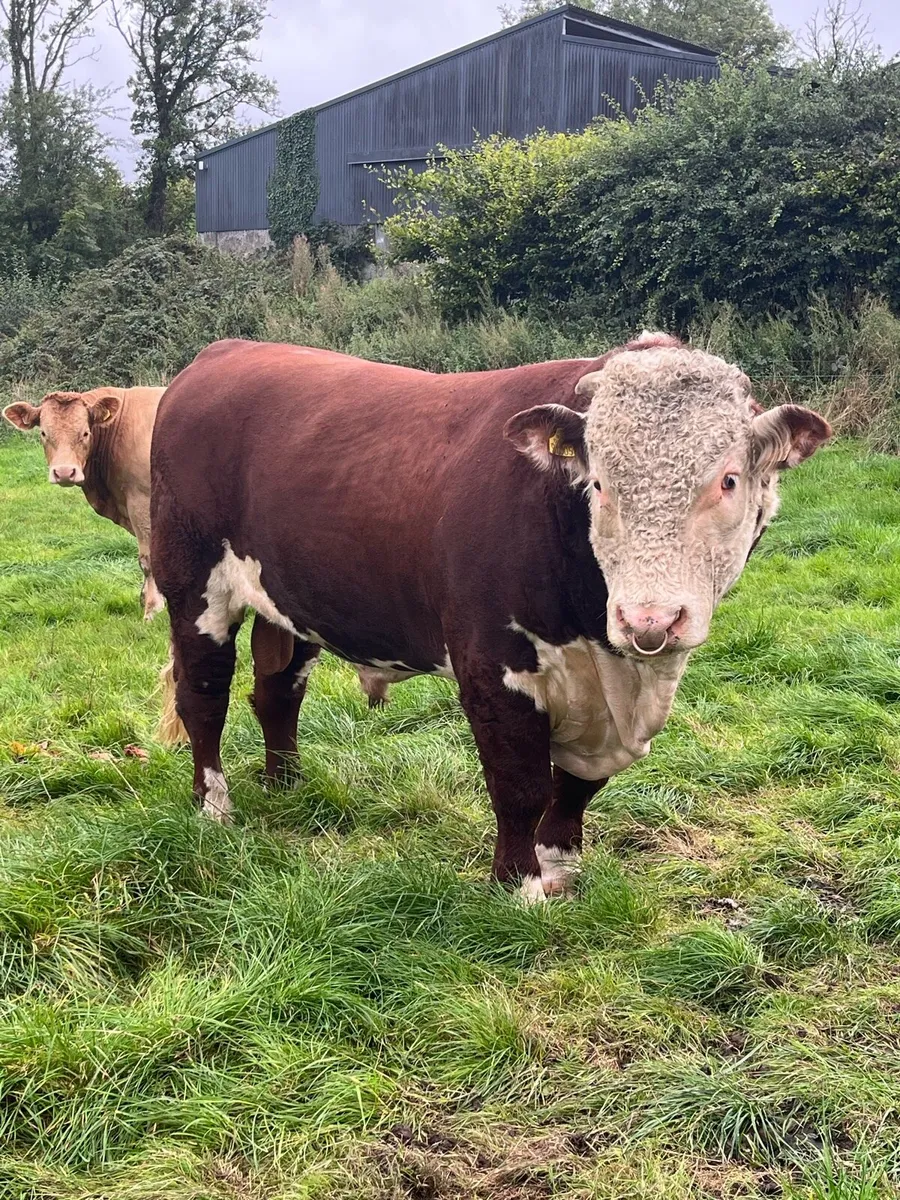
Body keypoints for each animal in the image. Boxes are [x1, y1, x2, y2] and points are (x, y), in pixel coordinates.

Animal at [3, 387, 167, 620]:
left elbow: (148, 559)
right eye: (43, 433)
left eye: (85, 433)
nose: (64, 472)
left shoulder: (141, 500)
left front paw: (152, 609)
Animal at [151, 334, 830, 900]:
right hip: (193, 587)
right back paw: (214, 806)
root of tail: (219, 353)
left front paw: (560, 865)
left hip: (292, 602)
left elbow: (576, 784)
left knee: (277, 693)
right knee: (204, 695)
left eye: (729, 480)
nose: (649, 619)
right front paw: (521, 883)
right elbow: (519, 781)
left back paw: (287, 784)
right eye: (600, 485)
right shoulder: (491, 664)